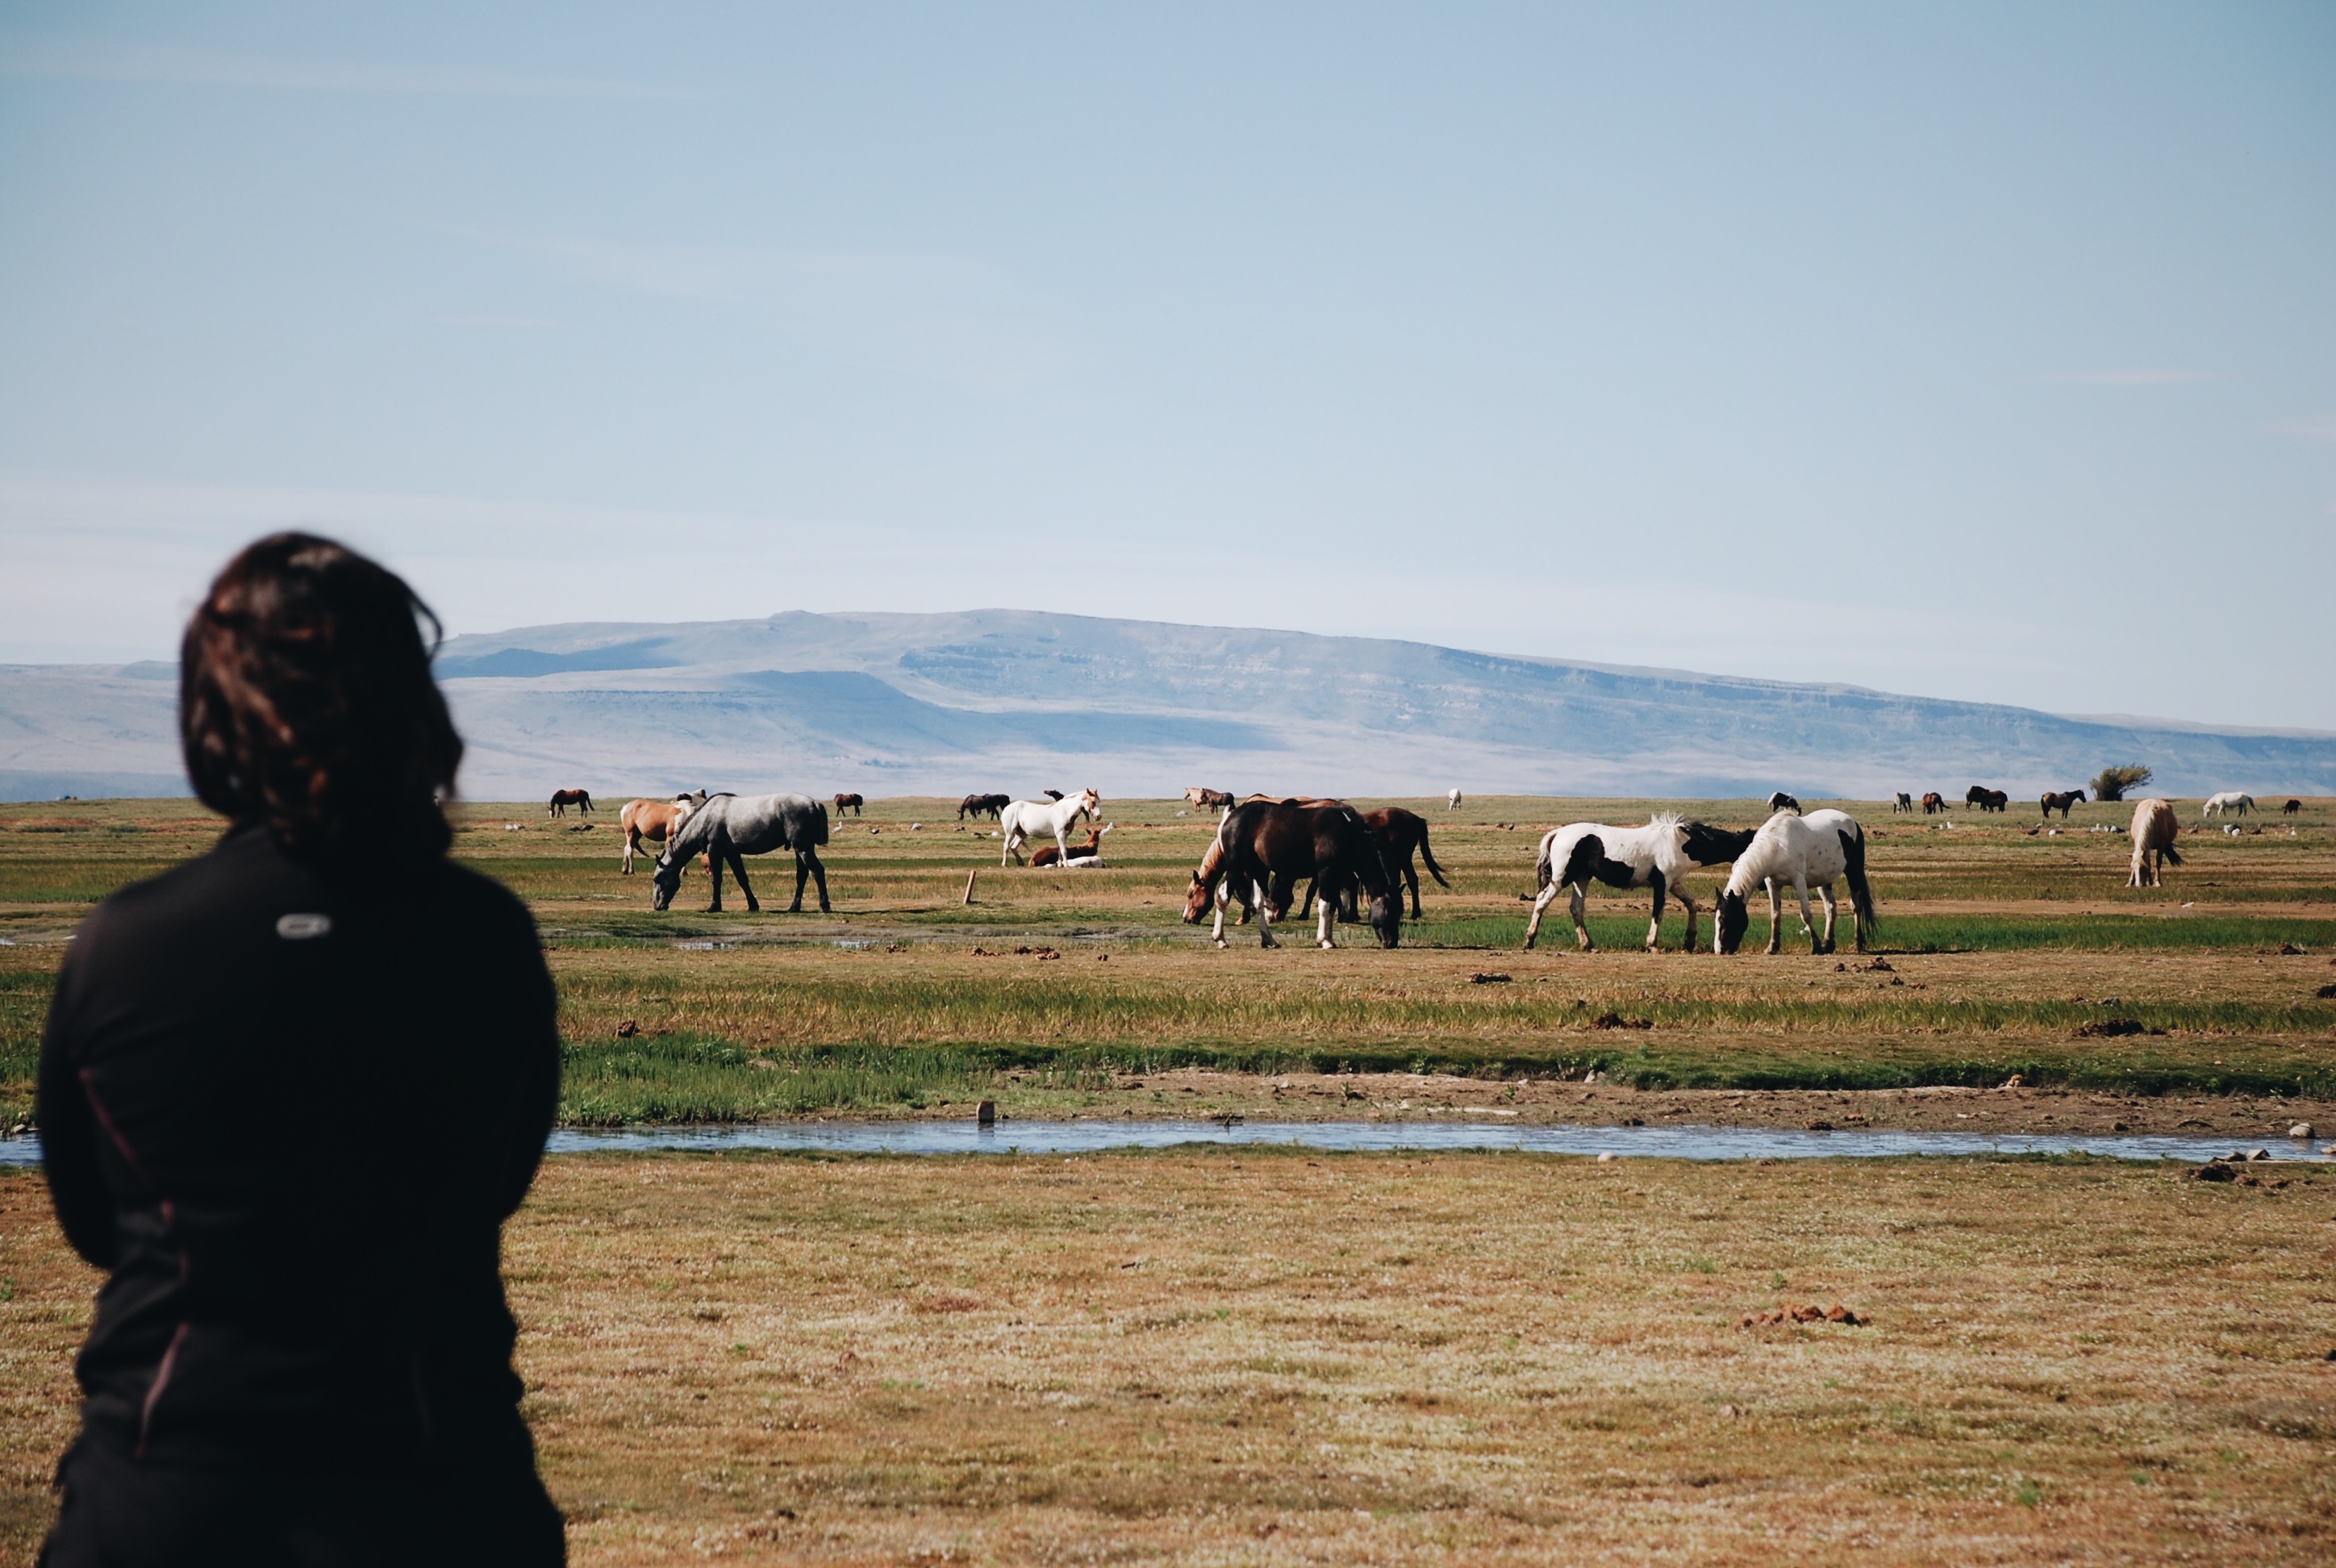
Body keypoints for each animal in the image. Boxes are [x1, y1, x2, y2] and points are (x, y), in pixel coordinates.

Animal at [653, 790, 836, 915]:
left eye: (657, 879)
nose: (656, 905)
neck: (706, 817)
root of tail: (814, 803)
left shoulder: (715, 850)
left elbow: (716, 879)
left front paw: (714, 906)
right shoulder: (732, 853)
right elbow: (742, 878)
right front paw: (753, 905)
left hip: (803, 848)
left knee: (817, 871)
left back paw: (823, 906)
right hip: (800, 850)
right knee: (802, 876)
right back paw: (794, 907)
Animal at [1177, 803, 1392, 949]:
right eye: (1390, 912)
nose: (1392, 943)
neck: (1346, 831)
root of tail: (1229, 818)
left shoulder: (1337, 874)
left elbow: (1331, 905)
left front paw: (1329, 939)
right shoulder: (1326, 871)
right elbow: (1325, 905)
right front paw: (1324, 941)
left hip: (1257, 870)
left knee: (1257, 902)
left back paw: (1269, 940)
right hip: (1236, 868)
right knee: (1223, 896)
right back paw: (1220, 939)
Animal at [1513, 818, 1756, 949]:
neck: (1680, 842)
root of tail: (1557, 833)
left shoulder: (1675, 883)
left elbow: (1692, 904)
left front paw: (1689, 941)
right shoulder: (1662, 884)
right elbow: (1658, 912)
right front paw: (1652, 943)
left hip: (1582, 878)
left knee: (1576, 908)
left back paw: (1587, 944)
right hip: (1562, 878)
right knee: (1542, 901)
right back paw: (1529, 940)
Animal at [1719, 808, 1878, 957]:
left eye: (1725, 919)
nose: (1720, 949)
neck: (1777, 846)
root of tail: (1853, 822)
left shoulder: (1799, 881)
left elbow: (1806, 914)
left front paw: (1816, 946)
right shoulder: (1773, 883)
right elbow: (1775, 914)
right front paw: (1772, 947)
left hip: (1854, 872)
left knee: (1856, 906)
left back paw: (1858, 943)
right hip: (1824, 881)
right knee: (1831, 908)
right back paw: (1828, 944)